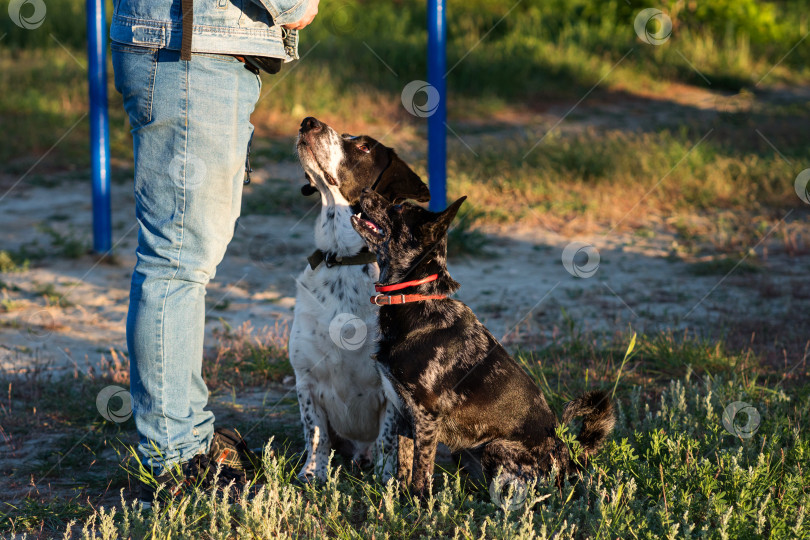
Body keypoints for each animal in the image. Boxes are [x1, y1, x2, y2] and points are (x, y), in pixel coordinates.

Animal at [290, 117, 430, 480]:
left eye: (365, 147)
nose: (308, 121)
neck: (345, 258)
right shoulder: (306, 379)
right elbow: (315, 432)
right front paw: (313, 474)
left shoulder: (391, 389)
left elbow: (388, 439)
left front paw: (388, 480)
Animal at [348, 190, 612, 498]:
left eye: (399, 209)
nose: (365, 191)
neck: (416, 300)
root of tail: (570, 464)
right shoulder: (403, 413)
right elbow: (403, 466)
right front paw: (400, 501)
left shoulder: (426, 417)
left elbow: (421, 472)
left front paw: (420, 503)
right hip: (464, 452)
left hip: (495, 448)